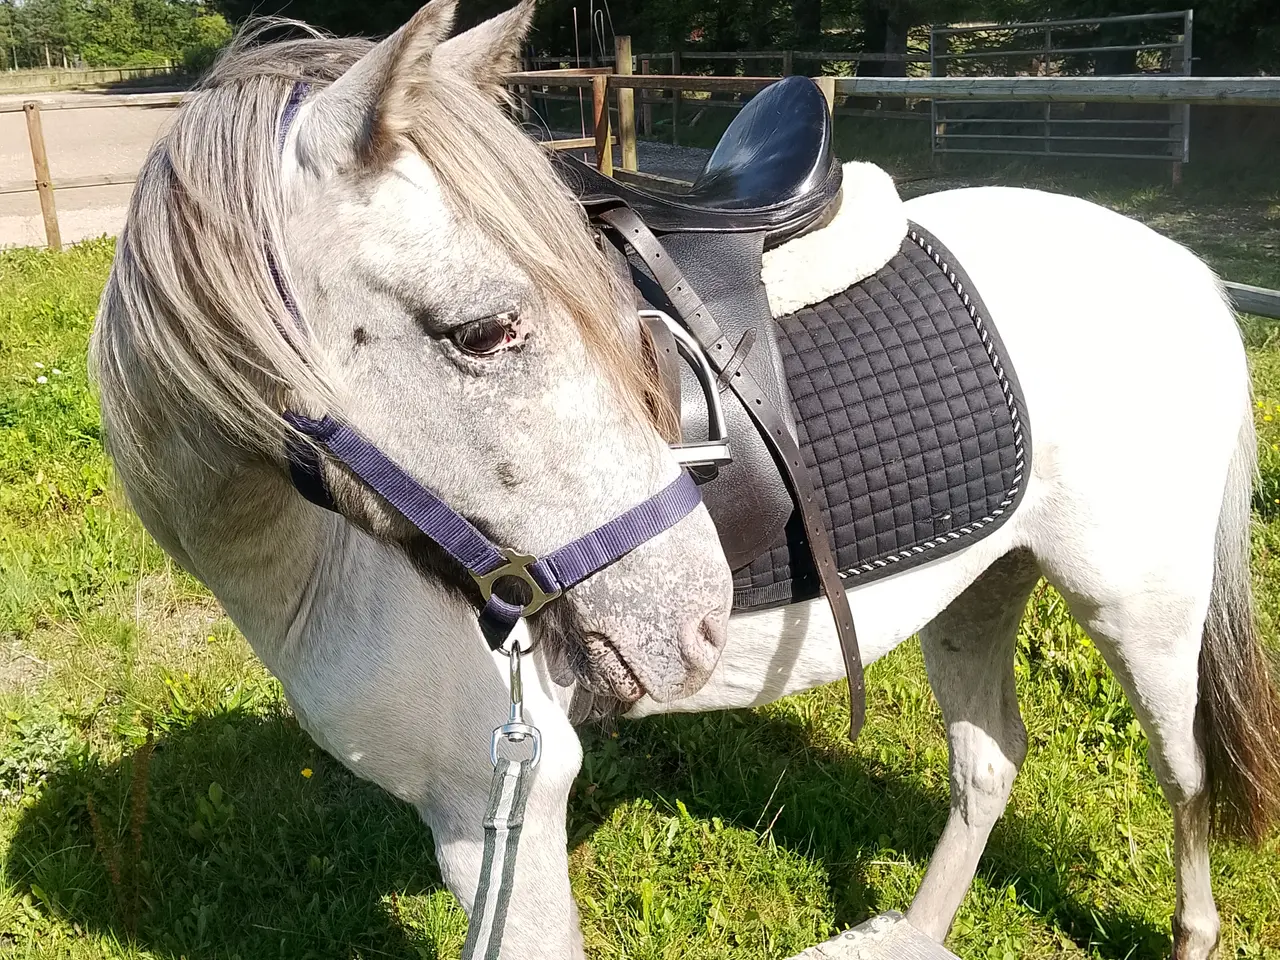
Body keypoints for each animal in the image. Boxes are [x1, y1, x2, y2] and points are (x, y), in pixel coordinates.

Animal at [89, 2, 1280, 958]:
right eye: (484, 331)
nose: (699, 618)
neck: (303, 554)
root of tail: (1179, 264)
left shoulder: (499, 804)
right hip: (980, 586)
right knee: (987, 763)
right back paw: (908, 935)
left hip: (1142, 616)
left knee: (1182, 776)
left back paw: (1190, 933)